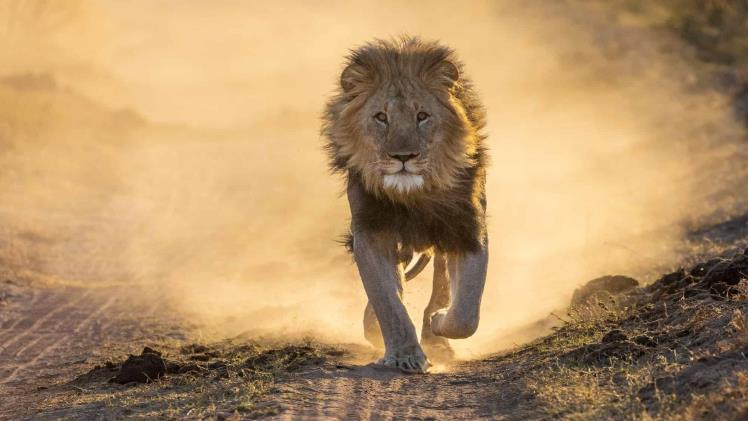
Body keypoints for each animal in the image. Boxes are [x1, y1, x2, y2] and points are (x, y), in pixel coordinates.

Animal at [323, 37, 488, 373]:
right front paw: (405, 354)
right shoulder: (371, 233)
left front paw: (439, 323)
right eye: (381, 117)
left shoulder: (467, 228)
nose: (403, 157)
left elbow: (467, 311)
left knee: (442, 282)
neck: (414, 194)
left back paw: (436, 333)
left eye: (422, 116)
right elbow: (388, 300)